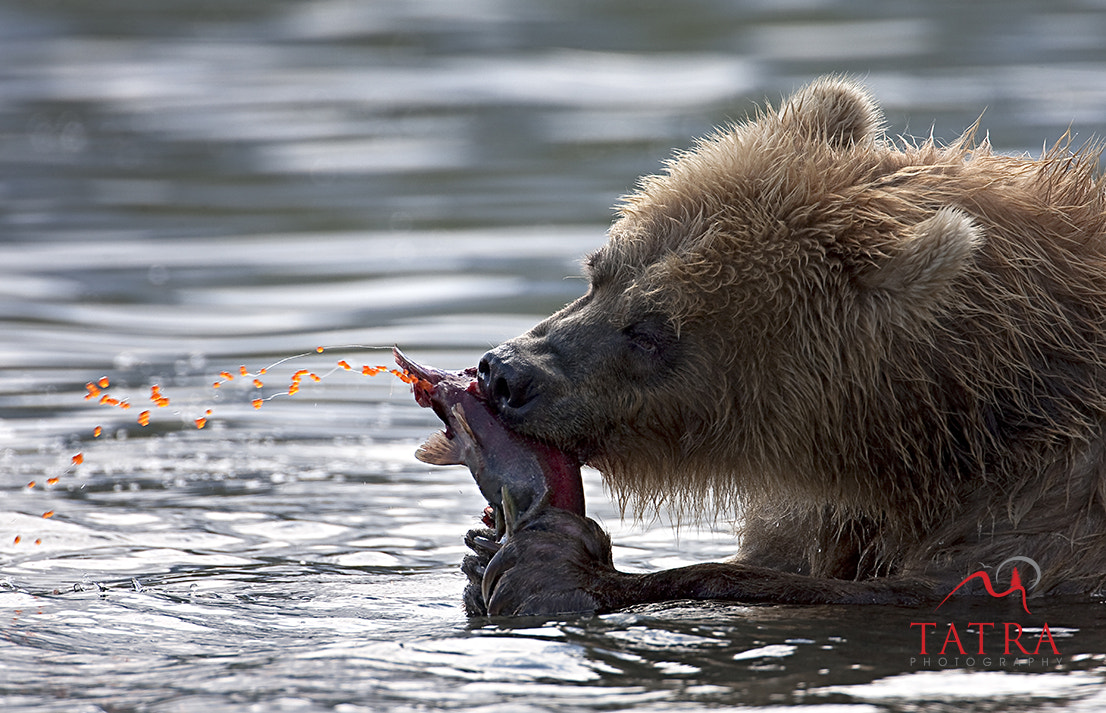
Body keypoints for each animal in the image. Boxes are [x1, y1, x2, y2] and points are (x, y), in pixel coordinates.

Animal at [462, 75, 1106, 614]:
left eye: (649, 332)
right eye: (599, 272)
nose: (505, 373)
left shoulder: (1051, 500)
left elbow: (936, 586)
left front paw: (555, 567)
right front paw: (484, 546)